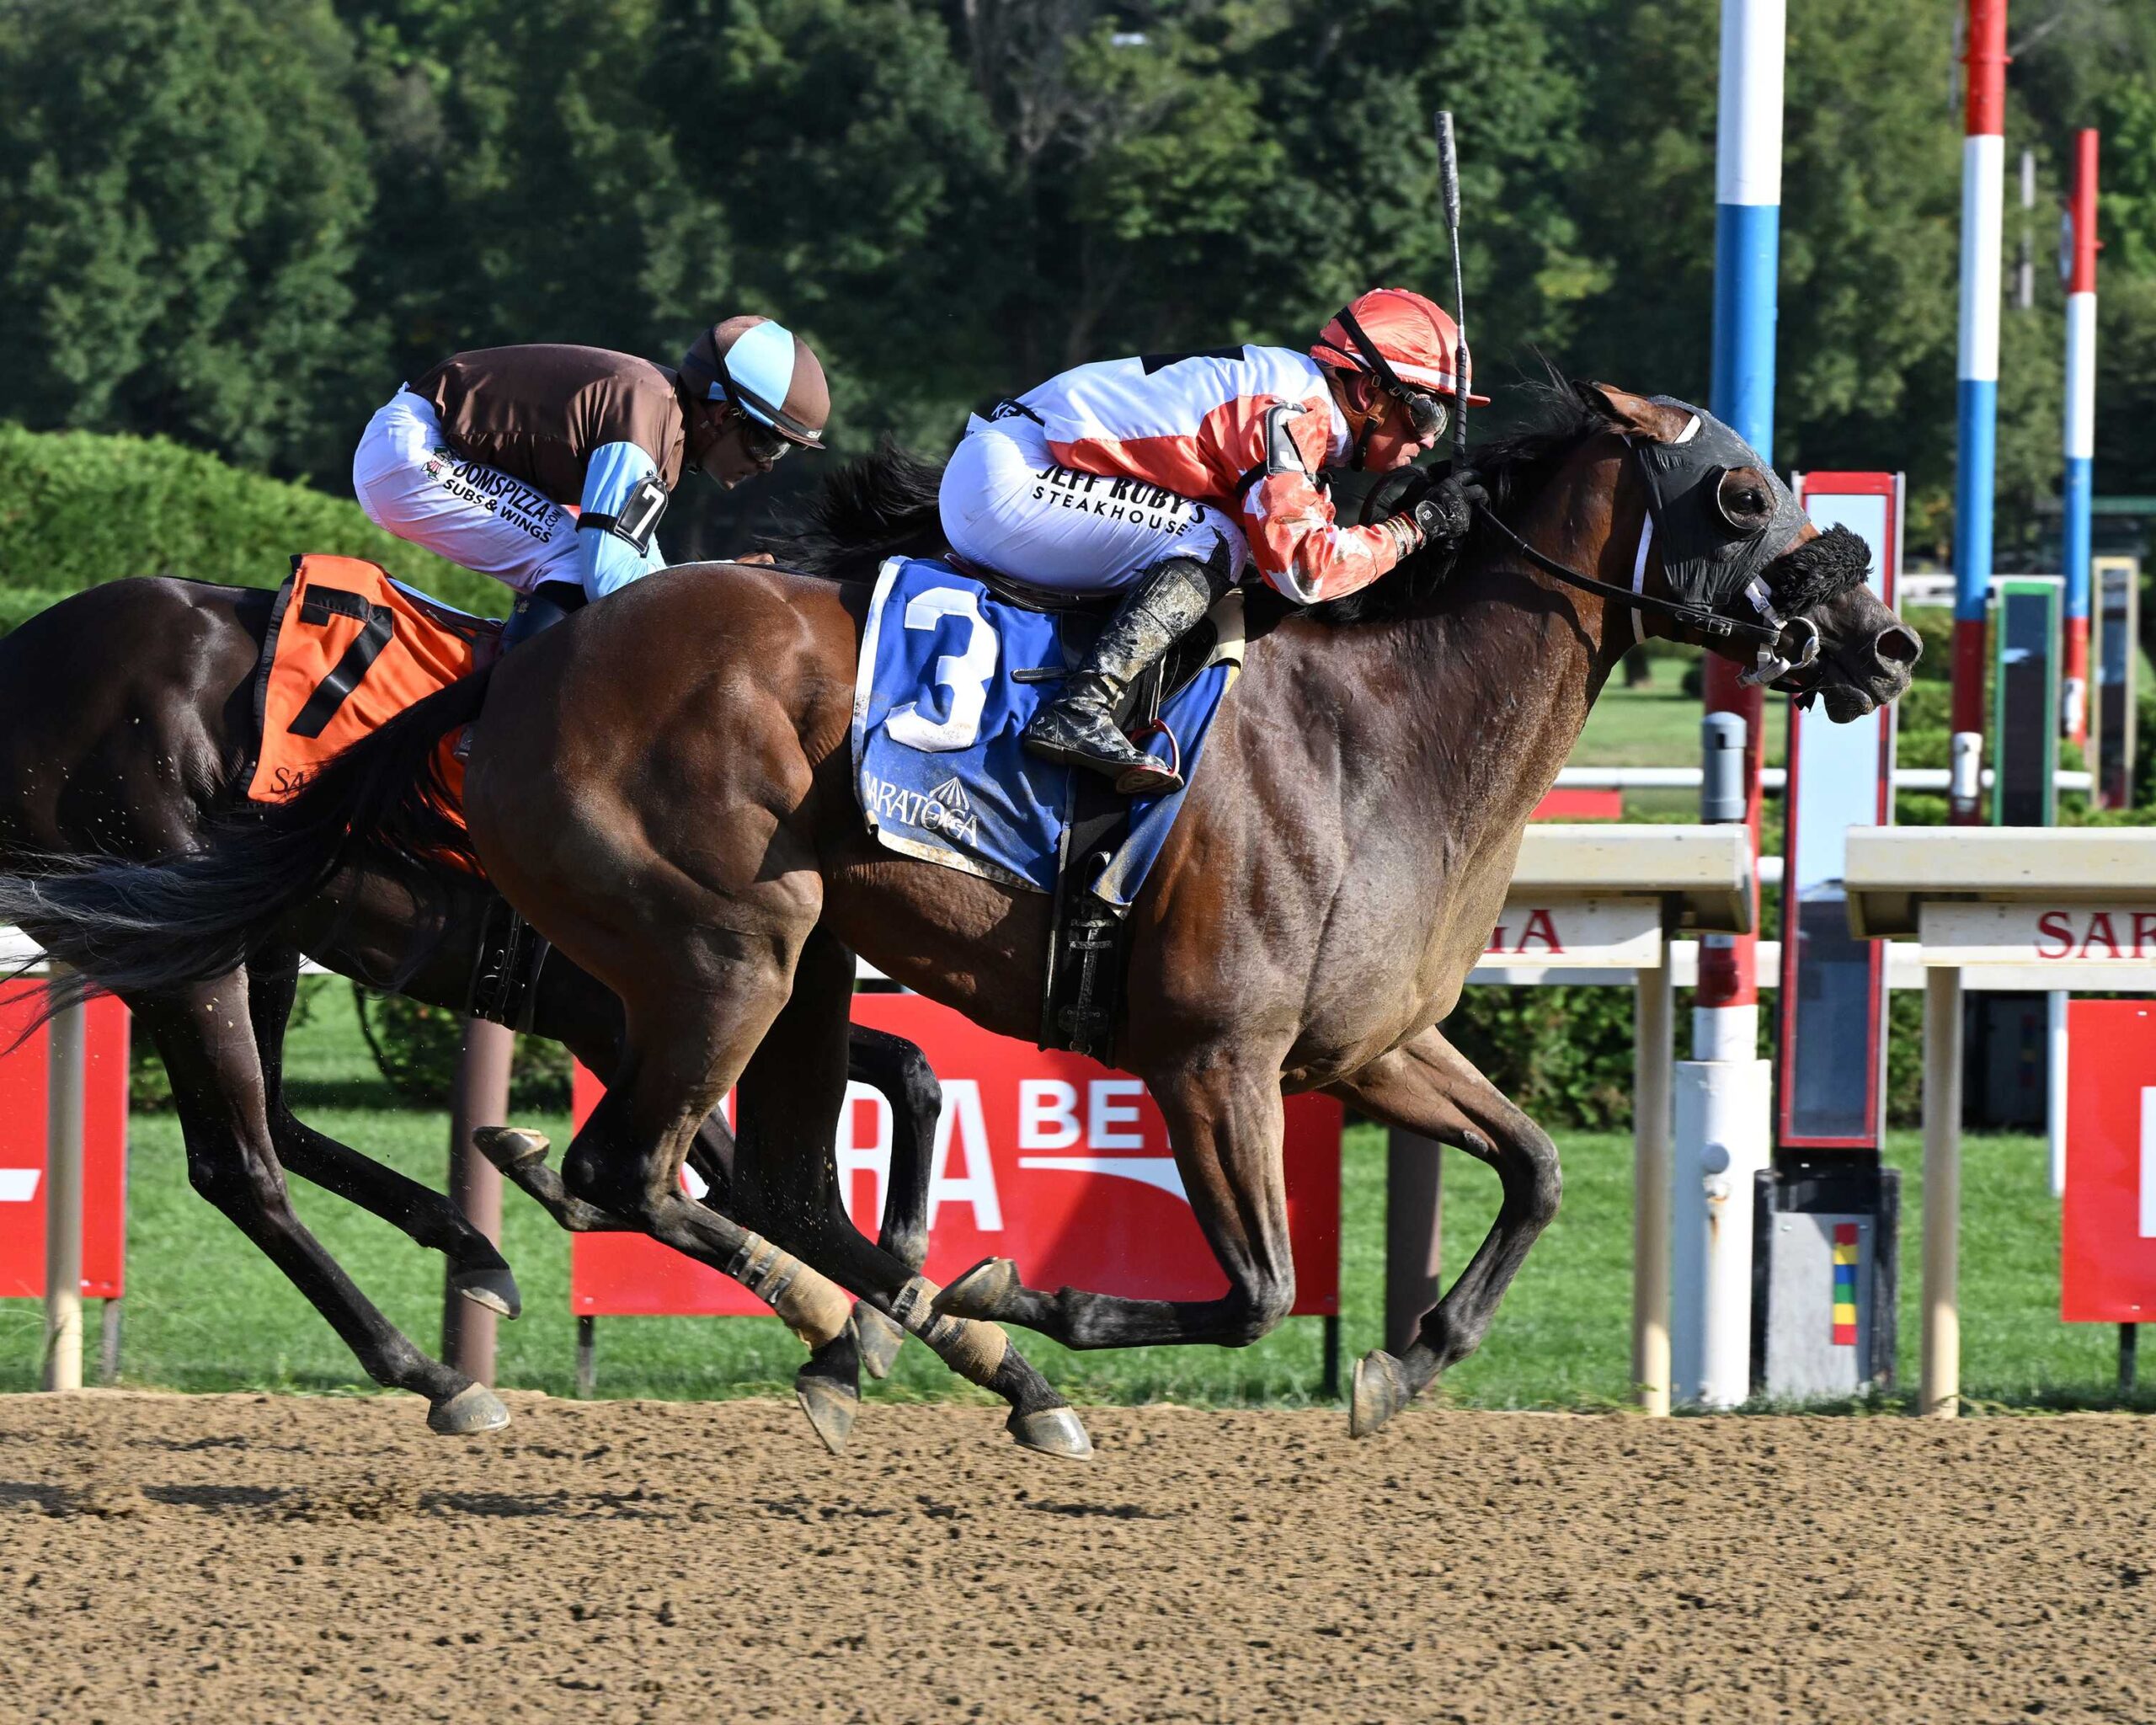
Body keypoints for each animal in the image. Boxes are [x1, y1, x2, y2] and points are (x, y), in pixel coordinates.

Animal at [0, 569, 952, 1451]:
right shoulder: (637, 1010)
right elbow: (718, 1175)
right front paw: (864, 1322)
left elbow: (907, 1068)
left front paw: (890, 1296)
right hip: (177, 945)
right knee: (240, 1166)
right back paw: (437, 1372)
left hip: (247, 936)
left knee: (274, 1117)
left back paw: (468, 1247)